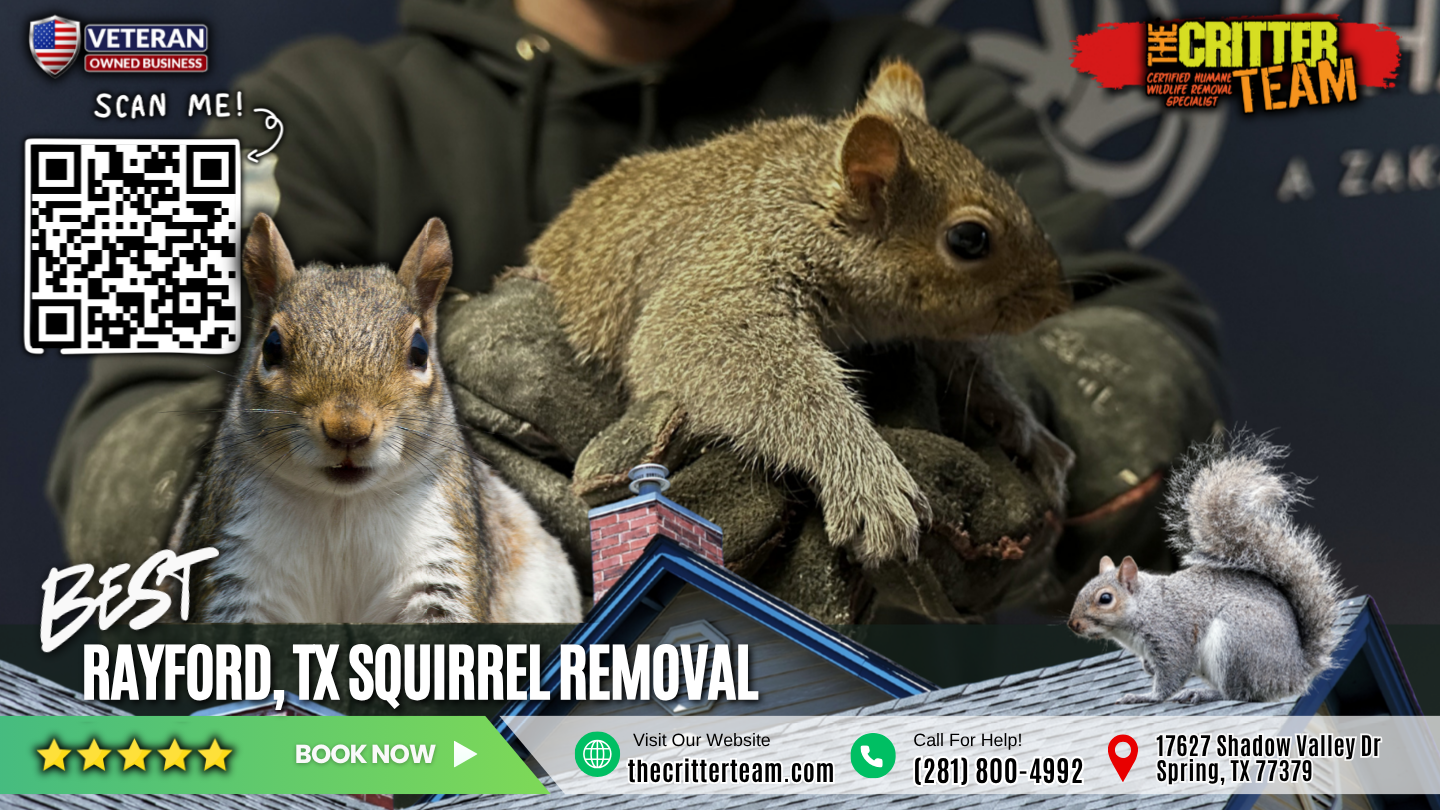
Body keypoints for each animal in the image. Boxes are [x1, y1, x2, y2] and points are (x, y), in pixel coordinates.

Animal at [169, 214, 582, 623]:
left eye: (419, 351)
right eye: (271, 348)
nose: (347, 429)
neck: (340, 507)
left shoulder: (441, 554)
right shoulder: (236, 562)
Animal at [526, 59, 1074, 567]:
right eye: (969, 239)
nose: (1058, 300)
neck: (804, 202)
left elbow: (966, 361)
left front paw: (1030, 432)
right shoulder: (725, 273)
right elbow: (709, 346)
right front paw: (869, 481)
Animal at [1068, 433, 1346, 704]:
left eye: (1105, 598)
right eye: (1080, 591)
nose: (1073, 625)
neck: (1144, 607)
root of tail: (1295, 673)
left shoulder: (1170, 635)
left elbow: (1173, 673)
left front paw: (1144, 696)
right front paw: (1146, 669)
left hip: (1236, 641)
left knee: (1239, 693)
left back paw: (1203, 693)